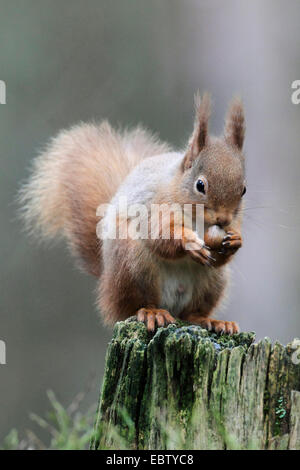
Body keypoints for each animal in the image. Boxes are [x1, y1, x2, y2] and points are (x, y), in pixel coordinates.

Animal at [21, 92, 246, 334]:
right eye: (200, 185)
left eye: (244, 189)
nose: (223, 219)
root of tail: (107, 283)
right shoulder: (154, 205)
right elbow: (159, 236)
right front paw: (188, 242)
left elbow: (221, 255)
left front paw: (235, 240)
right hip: (133, 265)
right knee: (135, 305)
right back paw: (152, 312)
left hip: (214, 281)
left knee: (192, 312)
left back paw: (211, 321)